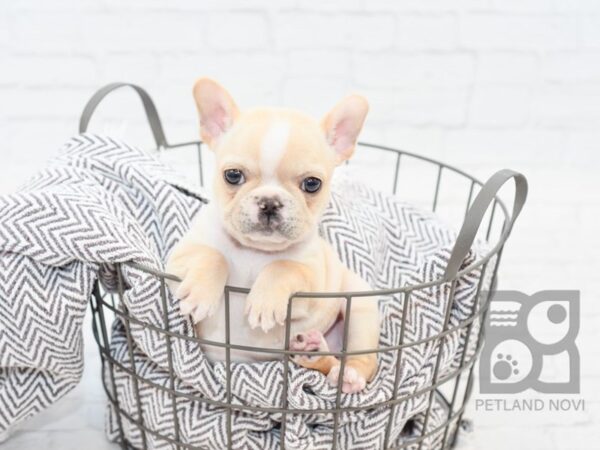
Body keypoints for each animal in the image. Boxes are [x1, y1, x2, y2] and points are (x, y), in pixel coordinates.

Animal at [166, 78, 378, 394]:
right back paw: (313, 351)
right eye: (232, 175)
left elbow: (284, 266)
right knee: (326, 363)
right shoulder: (180, 256)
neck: (255, 251)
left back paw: (348, 374)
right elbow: (213, 255)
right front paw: (202, 293)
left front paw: (265, 301)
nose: (269, 201)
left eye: (312, 184)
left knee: (359, 360)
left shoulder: (316, 280)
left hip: (361, 307)